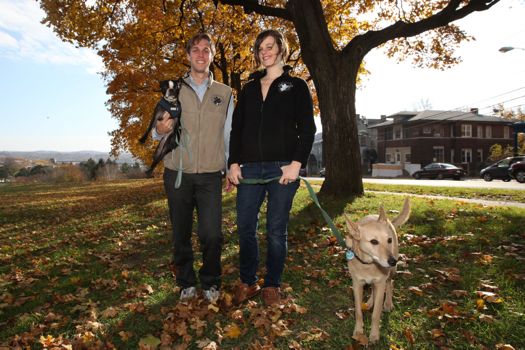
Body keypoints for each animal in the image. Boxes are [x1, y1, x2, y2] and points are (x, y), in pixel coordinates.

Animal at [342, 198, 412, 344]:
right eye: (374, 241)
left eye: (389, 240)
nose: (392, 261)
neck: (369, 264)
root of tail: (386, 220)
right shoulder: (357, 284)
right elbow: (358, 311)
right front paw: (358, 331)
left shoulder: (381, 283)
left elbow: (376, 314)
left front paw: (374, 335)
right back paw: (370, 302)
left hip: (391, 273)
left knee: (390, 284)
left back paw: (388, 303)